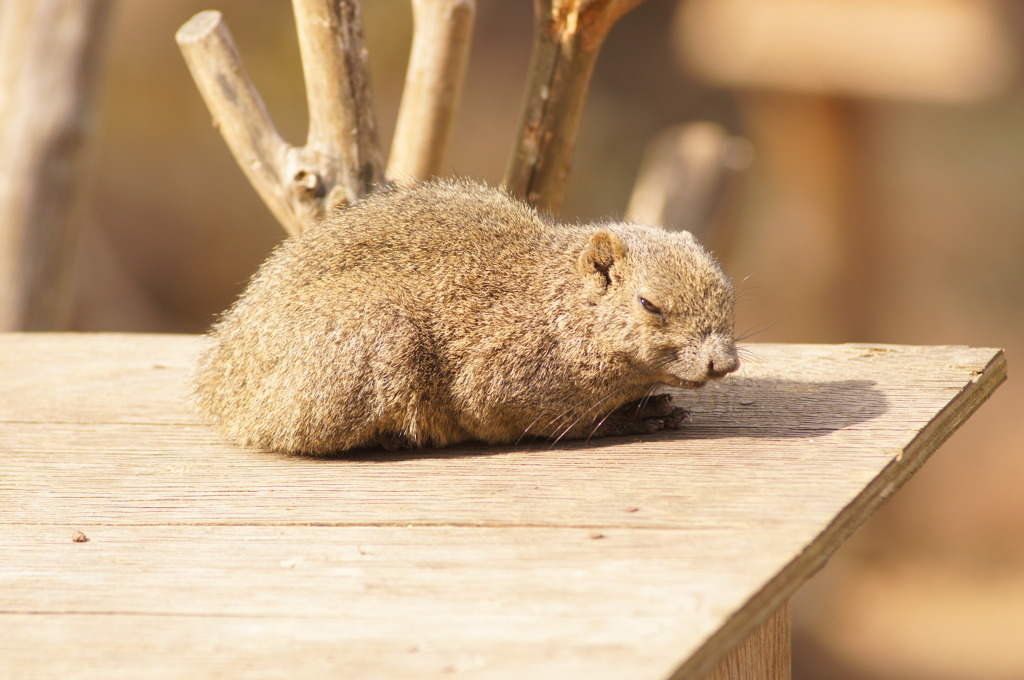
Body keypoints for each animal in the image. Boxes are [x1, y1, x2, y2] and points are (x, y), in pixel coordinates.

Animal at [192, 179, 737, 456]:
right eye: (649, 305)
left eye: (728, 293)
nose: (725, 363)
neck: (558, 309)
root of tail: (224, 393)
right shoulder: (501, 382)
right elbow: (566, 425)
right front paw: (636, 417)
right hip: (374, 335)